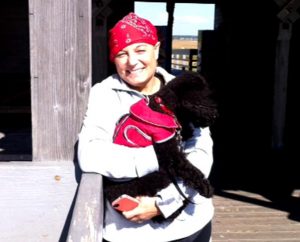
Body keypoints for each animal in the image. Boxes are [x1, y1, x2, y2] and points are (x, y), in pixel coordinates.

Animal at [103, 70, 218, 221]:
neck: (162, 107)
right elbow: (190, 169)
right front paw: (206, 187)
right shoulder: (170, 153)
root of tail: (109, 192)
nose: (214, 116)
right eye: (199, 102)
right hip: (159, 176)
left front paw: (187, 129)